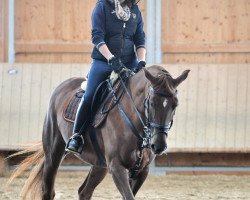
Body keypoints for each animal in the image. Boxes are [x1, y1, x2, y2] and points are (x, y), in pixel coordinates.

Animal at [9, 65, 189, 199]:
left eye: (175, 104)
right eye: (151, 103)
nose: (158, 146)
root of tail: (62, 86)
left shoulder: (141, 171)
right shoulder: (116, 167)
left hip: (99, 164)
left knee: (84, 191)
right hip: (53, 154)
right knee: (48, 190)